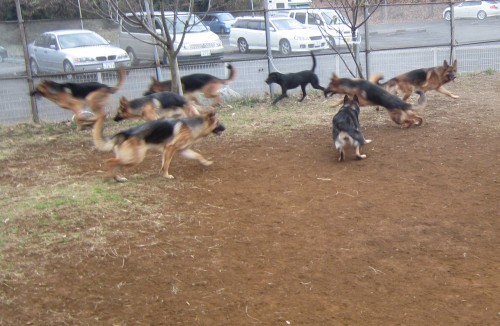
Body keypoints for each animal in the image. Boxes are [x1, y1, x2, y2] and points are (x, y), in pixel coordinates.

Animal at [92, 109, 225, 181]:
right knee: (110, 162)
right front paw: (166, 175)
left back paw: (118, 178)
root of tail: (125, 133)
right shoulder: (170, 148)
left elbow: (198, 156)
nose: (225, 128)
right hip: (136, 158)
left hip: (129, 158)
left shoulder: (182, 150)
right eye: (218, 123)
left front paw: (206, 163)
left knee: (116, 165)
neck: (194, 126)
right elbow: (166, 164)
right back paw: (110, 177)